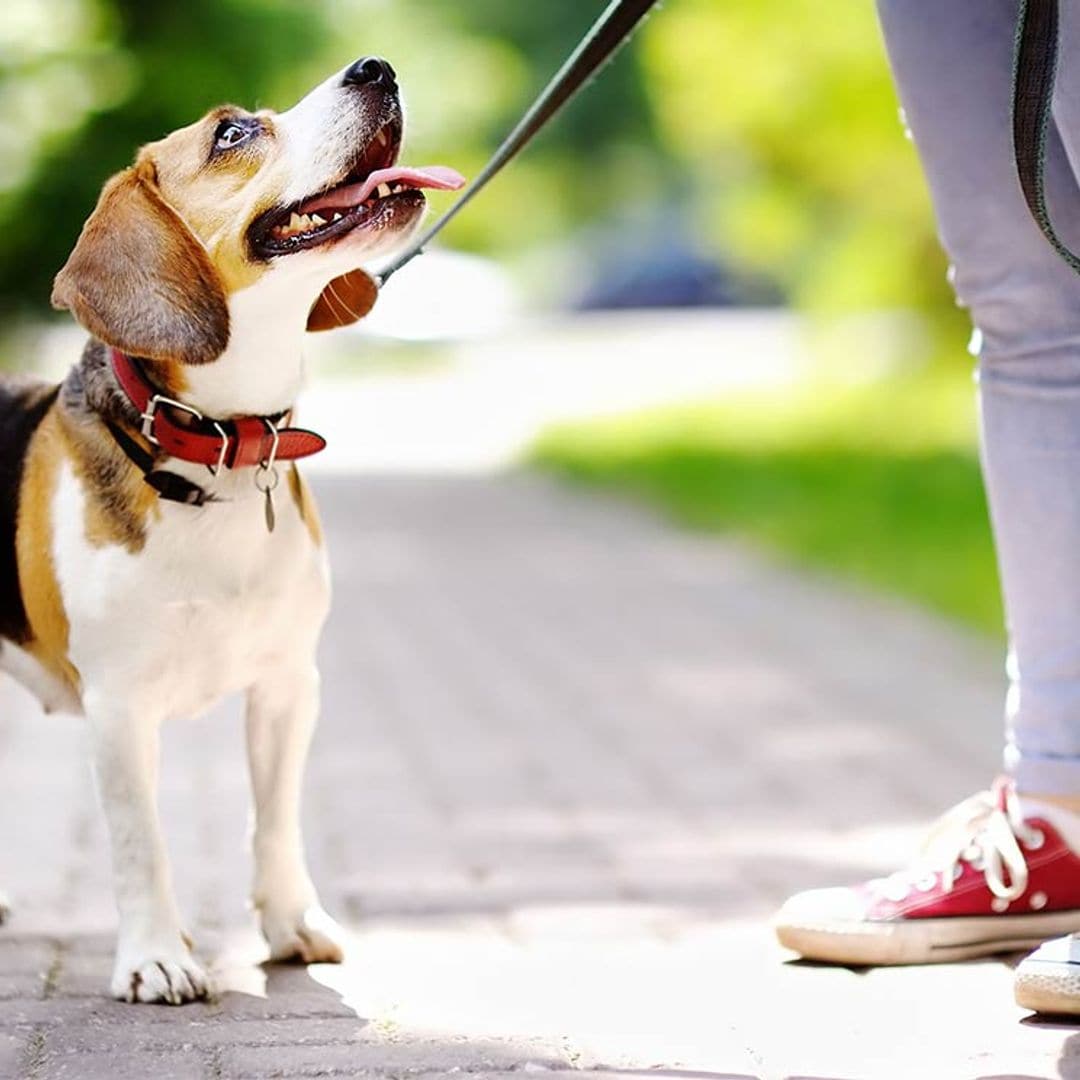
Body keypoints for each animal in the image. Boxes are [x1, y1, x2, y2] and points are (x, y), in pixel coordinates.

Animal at [0, 56, 464, 1002]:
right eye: (234, 134)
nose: (377, 67)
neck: (216, 445)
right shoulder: (117, 707)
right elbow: (140, 842)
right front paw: (156, 957)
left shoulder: (288, 683)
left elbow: (275, 819)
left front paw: (291, 925)